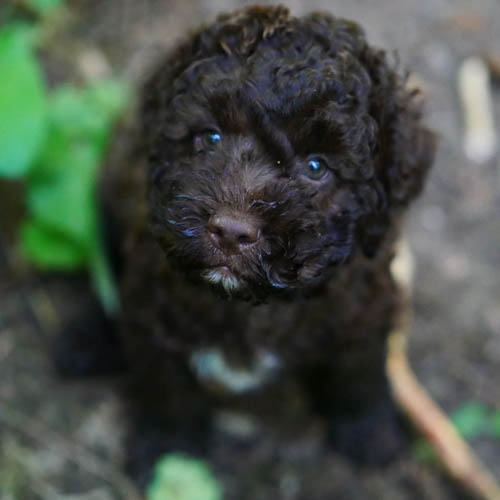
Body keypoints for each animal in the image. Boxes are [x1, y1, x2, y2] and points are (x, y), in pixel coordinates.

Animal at [100, 4, 434, 484]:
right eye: (209, 138)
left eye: (316, 167)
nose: (231, 231)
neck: (252, 305)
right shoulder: (151, 307)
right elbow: (164, 386)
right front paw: (168, 450)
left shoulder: (365, 305)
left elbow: (359, 370)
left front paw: (369, 431)